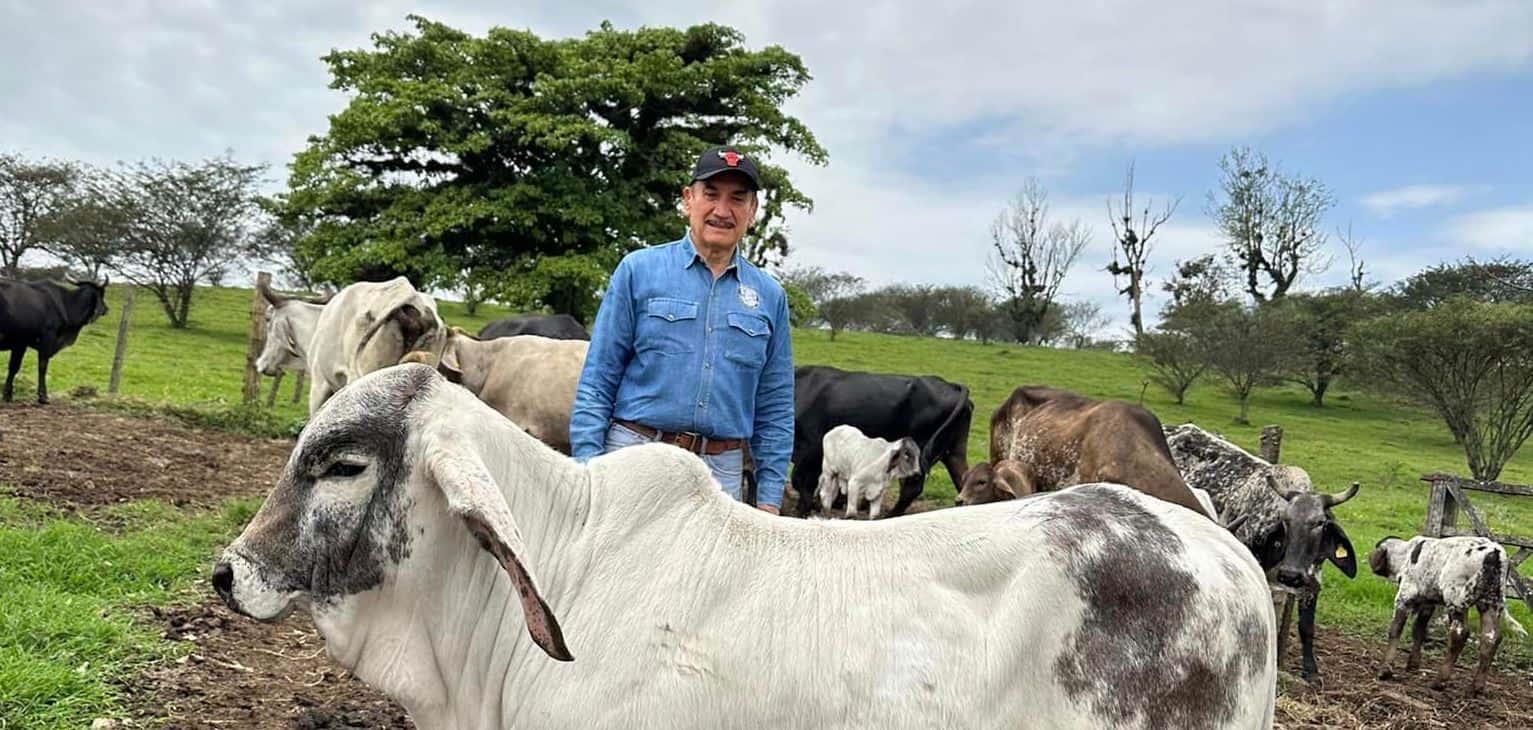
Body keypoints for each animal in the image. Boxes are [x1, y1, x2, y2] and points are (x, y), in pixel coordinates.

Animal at [797, 363, 974, 512]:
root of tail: (950, 385)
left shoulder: (811, 451)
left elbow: (803, 484)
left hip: (918, 451)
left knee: (911, 488)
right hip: (954, 451)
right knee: (962, 479)